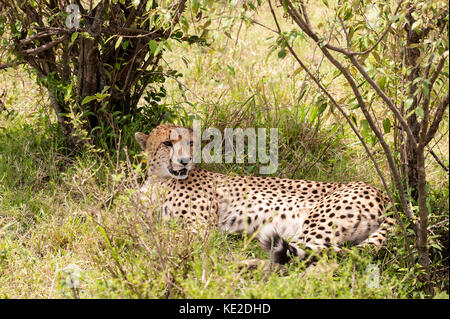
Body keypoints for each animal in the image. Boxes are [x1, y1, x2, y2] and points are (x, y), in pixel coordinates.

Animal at [134, 124, 394, 264]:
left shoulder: (199, 228)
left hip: (316, 225)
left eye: (189, 143)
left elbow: (168, 236)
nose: (185, 161)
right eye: (167, 143)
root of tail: (383, 194)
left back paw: (237, 264)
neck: (160, 179)